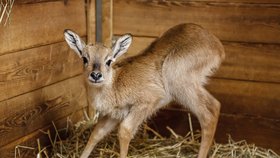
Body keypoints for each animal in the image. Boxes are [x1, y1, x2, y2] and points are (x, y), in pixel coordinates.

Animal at [64, 23, 225, 158]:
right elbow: (97, 132)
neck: (115, 84)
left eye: (109, 61)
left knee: (210, 111)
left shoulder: (146, 102)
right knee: (214, 107)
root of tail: (218, 46)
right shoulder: (115, 114)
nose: (96, 75)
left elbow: (125, 130)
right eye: (85, 58)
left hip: (179, 82)